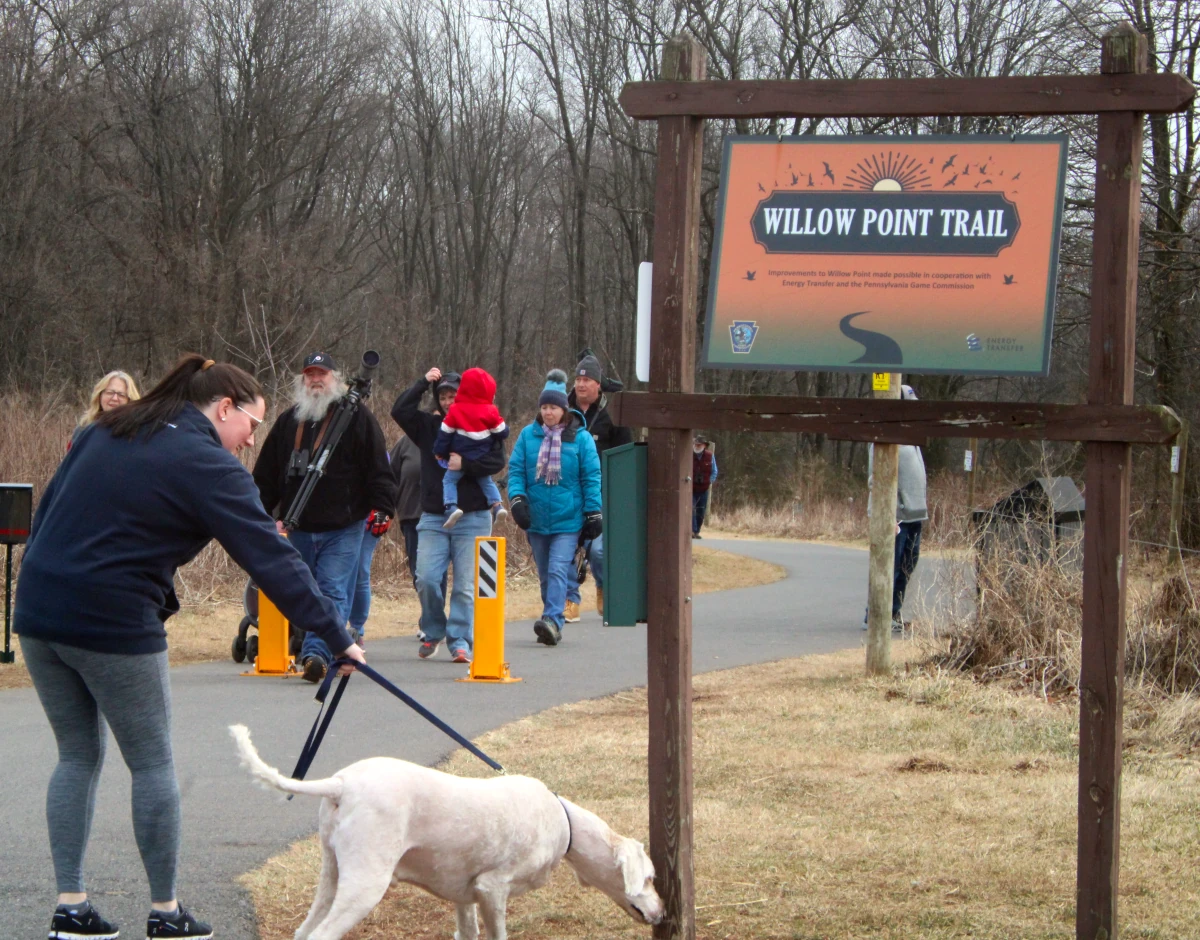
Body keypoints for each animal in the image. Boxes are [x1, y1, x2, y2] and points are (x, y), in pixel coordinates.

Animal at [231, 729, 667, 940]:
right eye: (649, 878)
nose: (662, 913)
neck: (563, 822)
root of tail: (341, 784)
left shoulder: (466, 897)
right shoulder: (494, 890)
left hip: (332, 876)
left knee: (304, 931)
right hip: (365, 886)